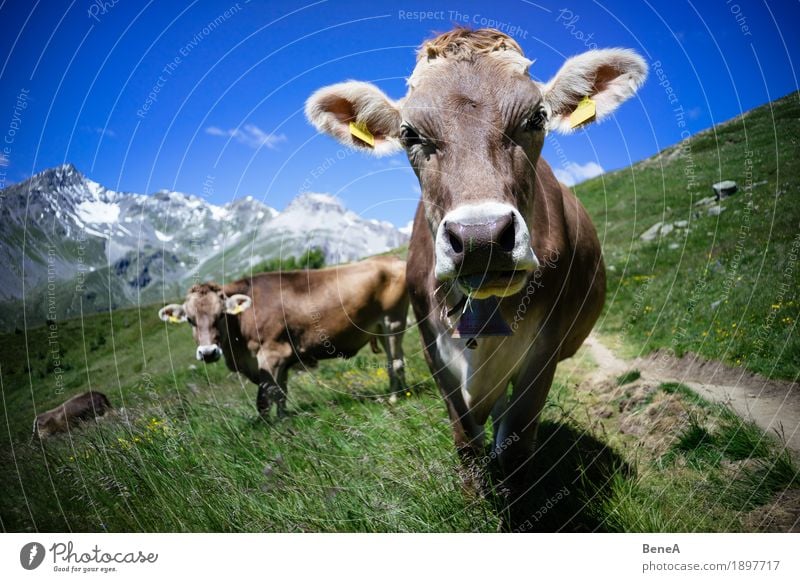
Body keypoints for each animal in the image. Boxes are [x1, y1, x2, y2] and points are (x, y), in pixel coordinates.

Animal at [159, 258, 410, 418]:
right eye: (190, 319)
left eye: (221, 315)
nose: (208, 352)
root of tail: (393, 260)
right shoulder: (279, 361)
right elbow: (281, 393)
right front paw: (283, 417)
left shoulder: (273, 353)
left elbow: (265, 398)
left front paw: (268, 427)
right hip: (381, 327)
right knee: (398, 360)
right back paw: (403, 392)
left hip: (393, 321)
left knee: (395, 362)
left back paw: (394, 399)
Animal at [304, 26, 648, 520]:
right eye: (409, 133)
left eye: (537, 117)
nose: (481, 238)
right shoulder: (431, 346)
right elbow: (466, 439)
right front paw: (472, 504)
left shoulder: (545, 348)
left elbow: (517, 443)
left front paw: (519, 511)